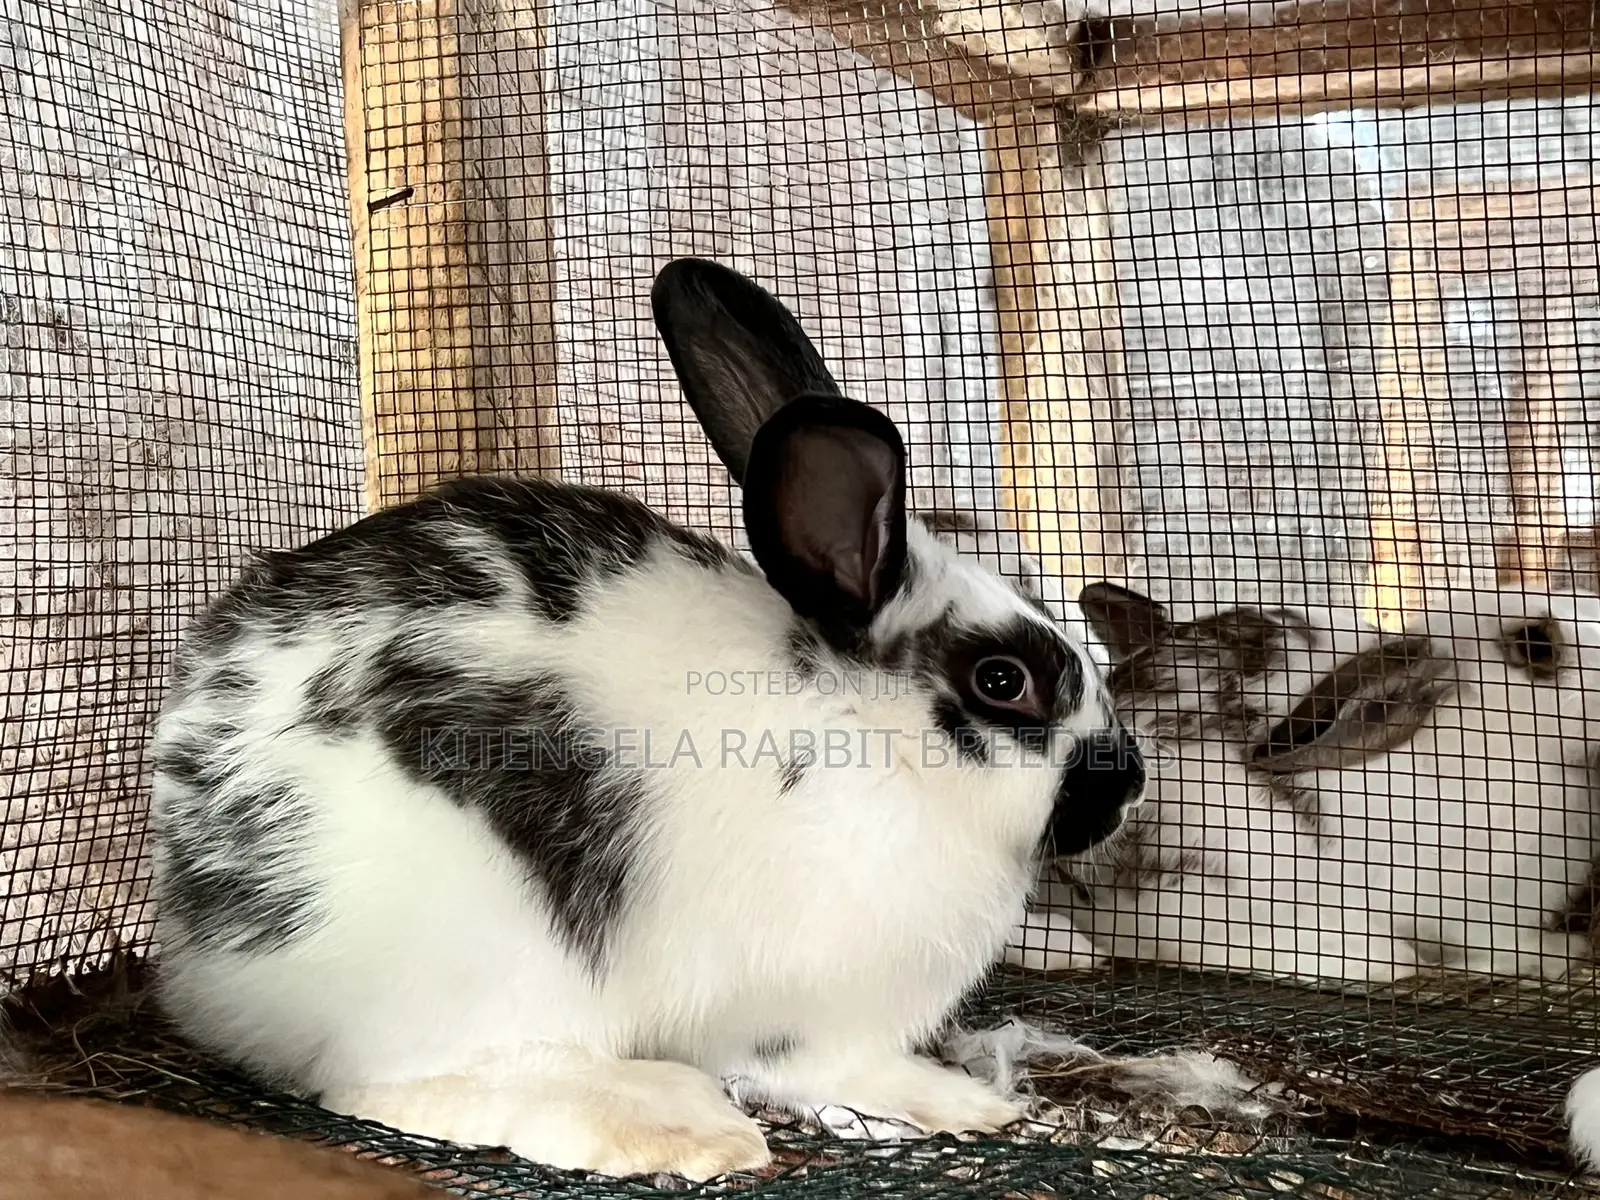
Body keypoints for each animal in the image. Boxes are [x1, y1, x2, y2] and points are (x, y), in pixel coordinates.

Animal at [145, 257, 1147, 1182]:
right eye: (1003, 681)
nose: (1129, 781)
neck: (871, 733)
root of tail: (203, 955)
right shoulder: (812, 1012)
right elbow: (834, 1069)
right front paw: (956, 1101)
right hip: (484, 957)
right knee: (395, 1080)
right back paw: (672, 1122)